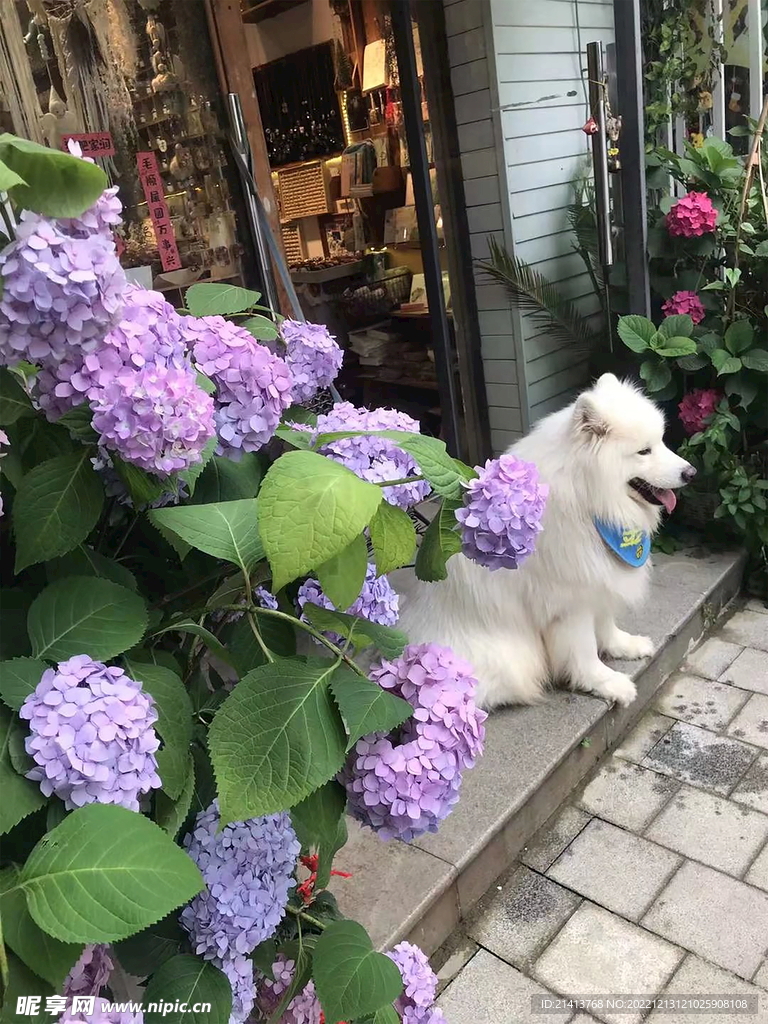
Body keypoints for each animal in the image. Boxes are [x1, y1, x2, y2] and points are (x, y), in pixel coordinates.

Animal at [393, 374, 696, 712]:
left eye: (661, 442)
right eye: (644, 451)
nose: (691, 472)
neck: (588, 500)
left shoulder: (598, 578)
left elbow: (606, 623)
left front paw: (623, 646)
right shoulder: (569, 604)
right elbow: (584, 653)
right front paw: (608, 684)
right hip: (508, 661)